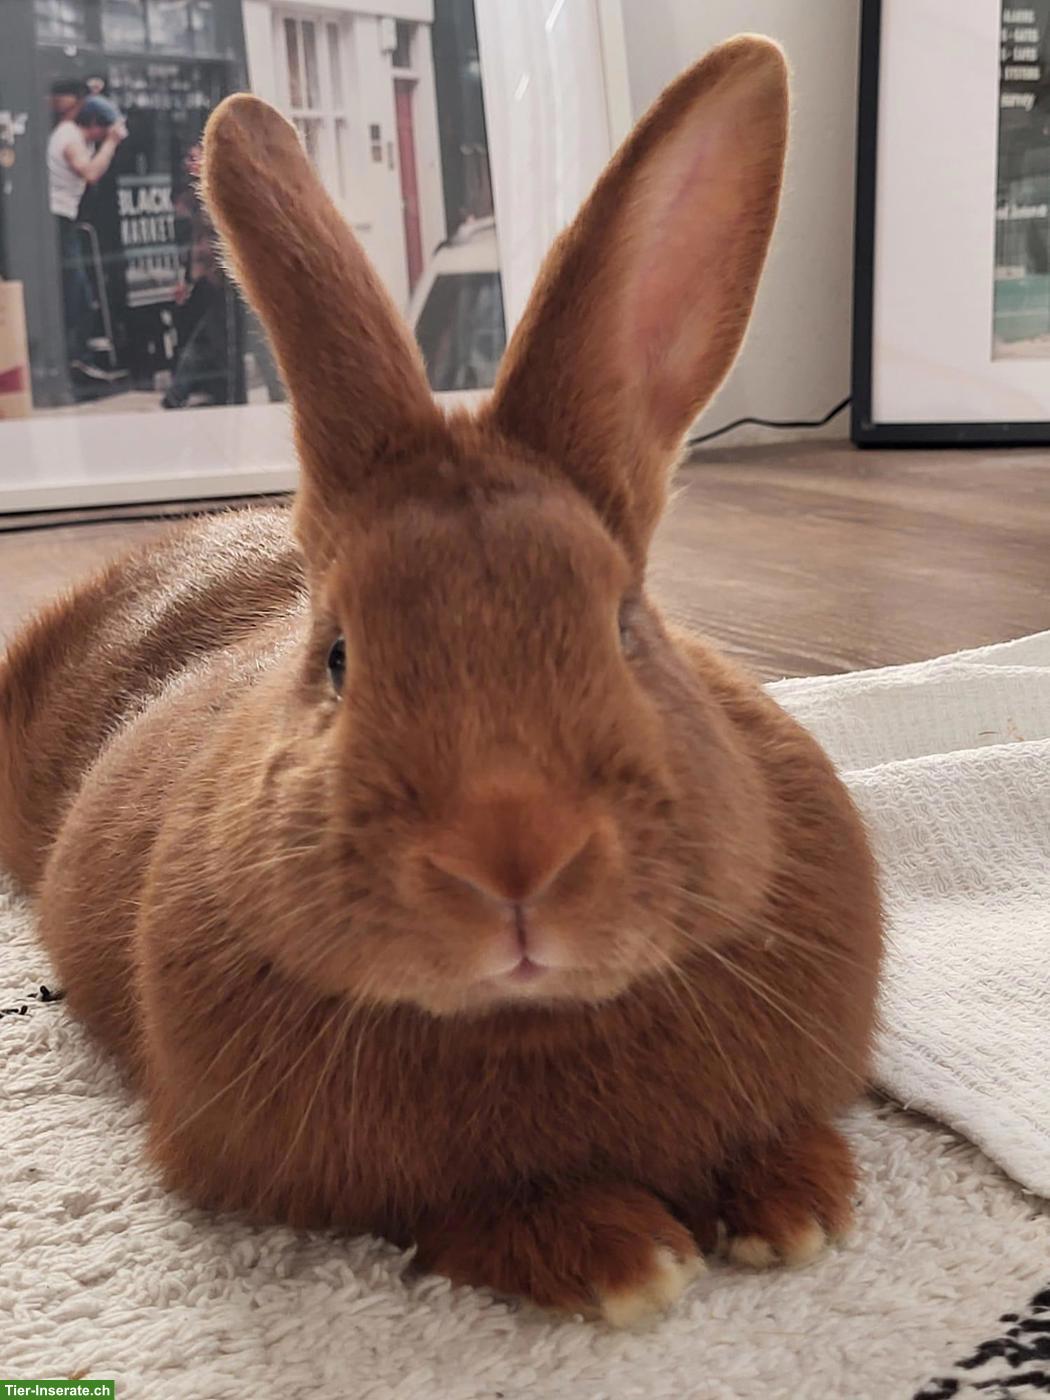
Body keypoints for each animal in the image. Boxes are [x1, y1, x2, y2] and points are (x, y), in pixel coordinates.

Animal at [0, 36, 881, 1325]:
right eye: (338, 656)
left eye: (628, 624)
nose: (512, 857)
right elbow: (463, 1211)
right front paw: (622, 1254)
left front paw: (798, 1205)